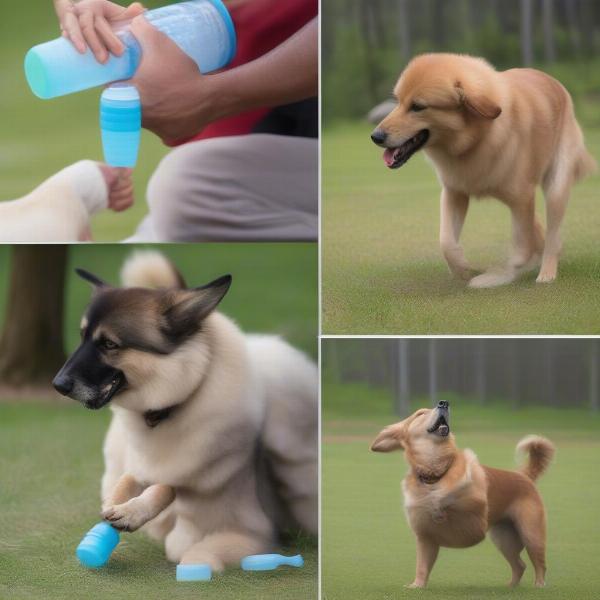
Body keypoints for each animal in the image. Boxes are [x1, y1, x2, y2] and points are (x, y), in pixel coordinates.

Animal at [51, 252, 318, 572]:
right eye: (81, 337)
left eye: (109, 344)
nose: (57, 385)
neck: (168, 405)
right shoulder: (142, 462)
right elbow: (127, 480)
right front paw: (113, 506)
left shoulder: (208, 472)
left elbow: (168, 486)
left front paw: (131, 513)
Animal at [370, 52, 596, 288]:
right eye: (398, 101)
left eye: (418, 106)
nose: (375, 136)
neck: (472, 140)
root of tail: (555, 83)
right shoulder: (454, 192)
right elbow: (446, 242)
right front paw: (462, 269)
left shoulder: (522, 198)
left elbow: (521, 248)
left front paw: (498, 275)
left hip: (556, 188)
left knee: (552, 236)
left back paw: (546, 271)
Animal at [372, 400, 556, 588]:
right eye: (420, 413)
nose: (443, 403)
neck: (436, 475)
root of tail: (523, 476)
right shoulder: (426, 538)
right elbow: (422, 566)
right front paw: (417, 585)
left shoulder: (476, 511)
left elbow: (452, 496)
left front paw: (441, 500)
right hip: (505, 540)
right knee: (520, 565)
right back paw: (511, 586)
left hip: (531, 535)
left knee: (540, 565)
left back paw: (539, 584)